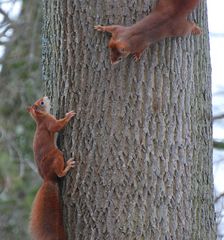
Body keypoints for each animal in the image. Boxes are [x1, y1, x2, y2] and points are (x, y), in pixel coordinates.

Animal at [27, 97, 75, 240]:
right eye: (41, 103)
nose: (46, 97)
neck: (40, 118)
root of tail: (48, 178)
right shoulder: (49, 122)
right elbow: (57, 126)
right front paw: (68, 116)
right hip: (57, 155)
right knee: (59, 174)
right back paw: (67, 167)